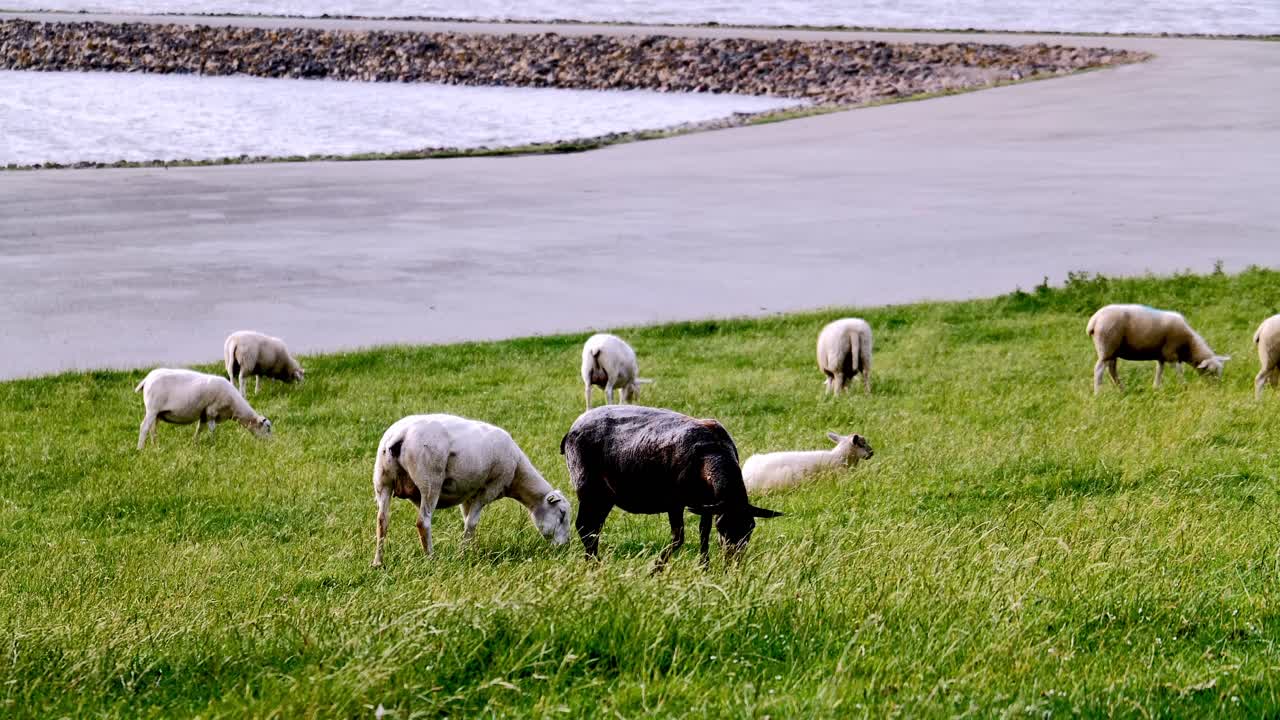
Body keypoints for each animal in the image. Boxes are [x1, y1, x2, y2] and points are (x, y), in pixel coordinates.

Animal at [135, 368, 272, 450]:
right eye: (268, 428)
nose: (272, 444)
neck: (234, 406)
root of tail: (147, 379)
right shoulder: (212, 411)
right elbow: (212, 429)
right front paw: (214, 443)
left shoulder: (204, 414)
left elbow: (199, 429)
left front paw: (194, 443)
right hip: (152, 408)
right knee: (144, 427)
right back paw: (140, 449)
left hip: (157, 413)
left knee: (153, 429)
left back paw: (156, 446)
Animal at [371, 414, 570, 566]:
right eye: (561, 514)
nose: (565, 547)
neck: (517, 475)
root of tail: (400, 435)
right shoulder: (488, 490)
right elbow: (472, 522)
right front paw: (462, 555)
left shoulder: (467, 494)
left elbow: (467, 520)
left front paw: (471, 551)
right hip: (430, 481)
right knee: (423, 522)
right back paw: (431, 559)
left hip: (382, 480)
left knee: (382, 521)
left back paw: (378, 563)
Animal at [560, 405, 782, 569]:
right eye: (722, 527)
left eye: (751, 528)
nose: (733, 563)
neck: (712, 453)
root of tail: (573, 427)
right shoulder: (675, 502)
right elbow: (678, 538)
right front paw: (655, 569)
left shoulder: (707, 503)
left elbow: (703, 533)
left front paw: (704, 568)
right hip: (588, 487)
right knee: (584, 527)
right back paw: (594, 565)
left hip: (605, 495)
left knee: (593, 529)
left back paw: (593, 562)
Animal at [1086, 304, 1231, 394]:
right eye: (1211, 371)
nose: (1218, 387)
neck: (1189, 345)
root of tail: (1095, 319)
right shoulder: (1171, 352)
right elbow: (1179, 371)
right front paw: (1184, 386)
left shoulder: (1161, 355)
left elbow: (1159, 371)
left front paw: (1156, 388)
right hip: (1107, 346)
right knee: (1099, 370)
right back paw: (1098, 393)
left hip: (1112, 351)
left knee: (1112, 370)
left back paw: (1122, 390)